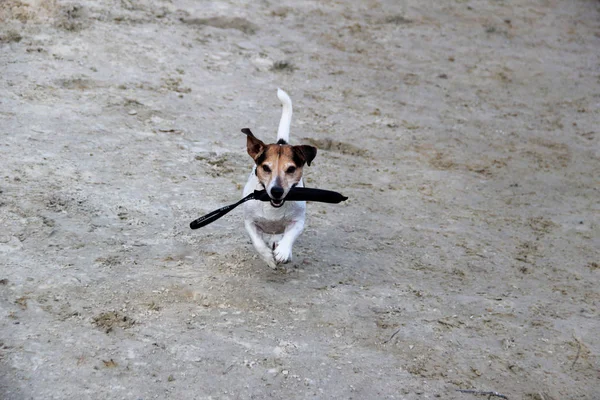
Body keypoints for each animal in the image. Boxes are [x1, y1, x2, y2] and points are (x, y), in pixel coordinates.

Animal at [243, 87, 318, 268]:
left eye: (291, 169)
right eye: (265, 168)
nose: (277, 191)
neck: (273, 207)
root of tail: (281, 142)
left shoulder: (298, 221)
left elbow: (290, 236)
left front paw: (283, 252)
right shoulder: (249, 222)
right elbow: (257, 242)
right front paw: (268, 258)